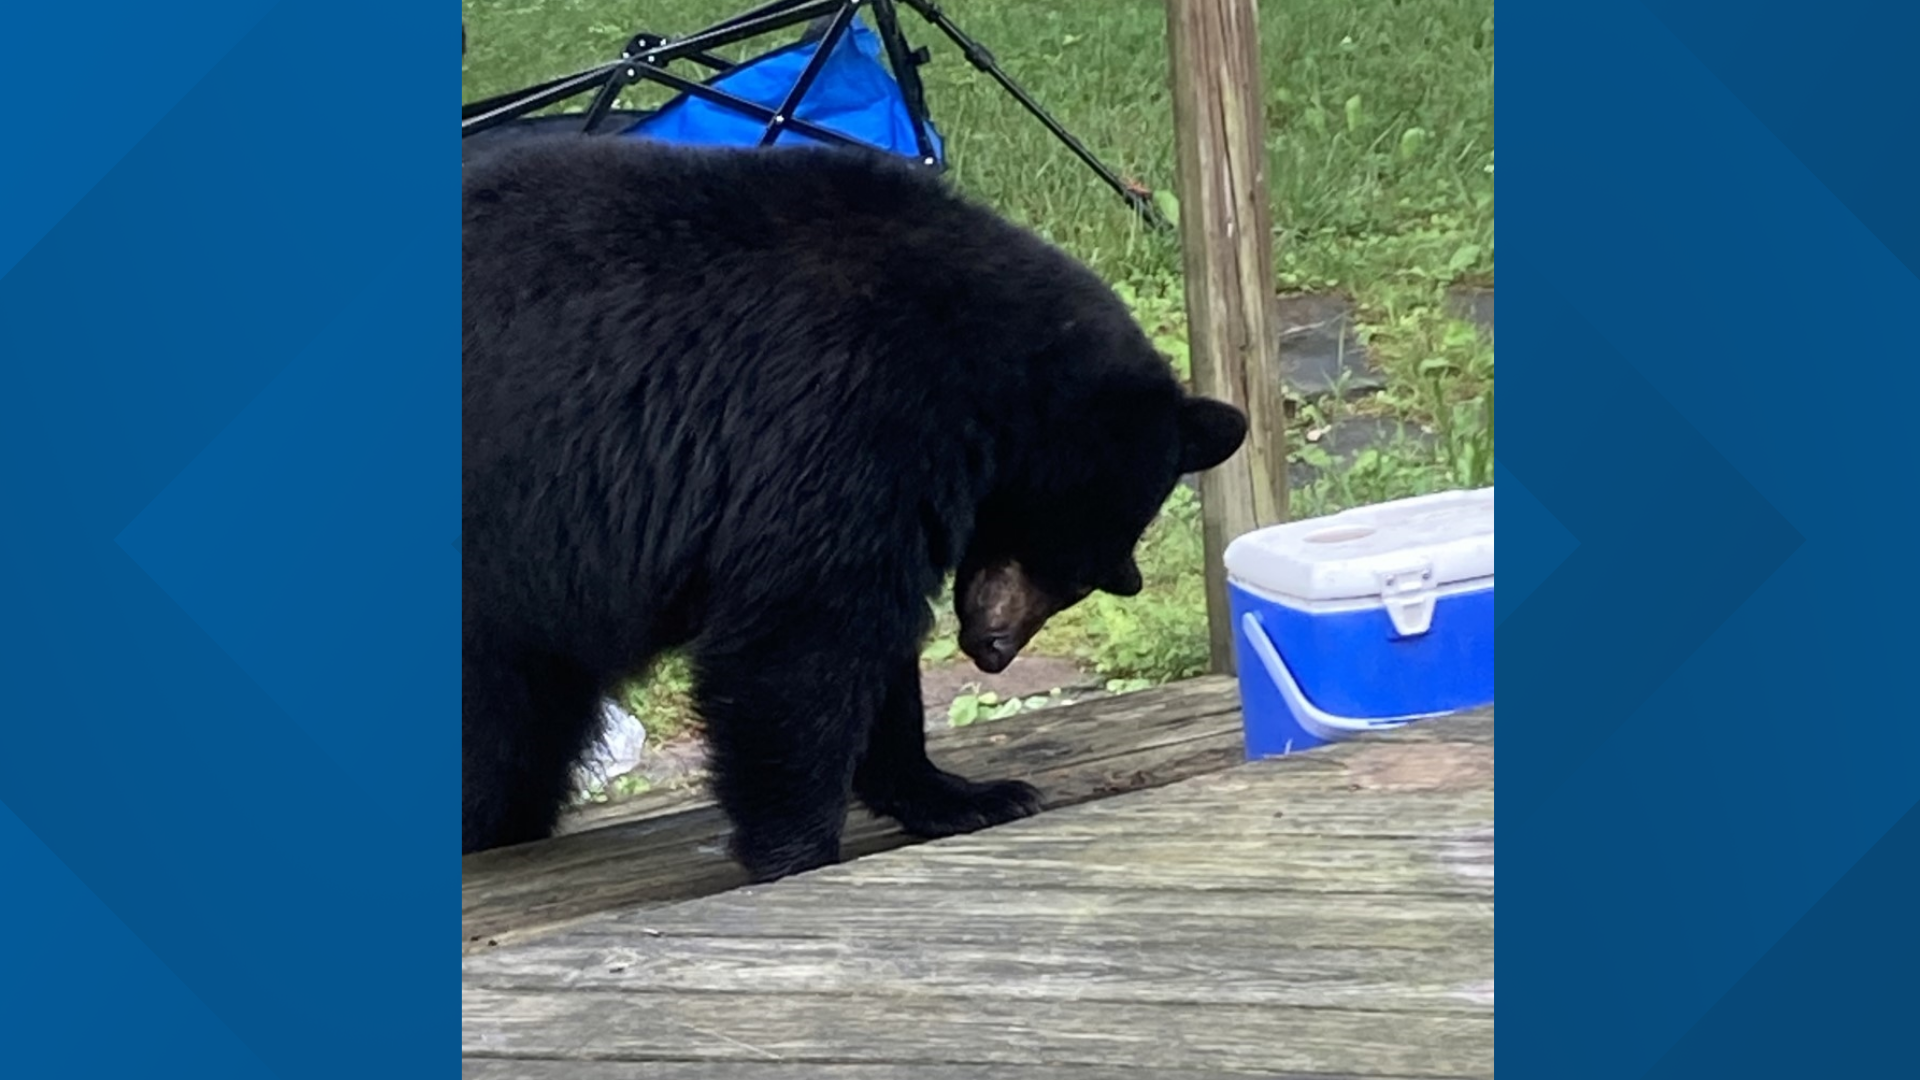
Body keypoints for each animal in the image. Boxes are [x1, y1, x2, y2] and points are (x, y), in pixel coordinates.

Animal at [462, 135, 1248, 883]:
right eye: (1087, 572)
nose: (993, 651)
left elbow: (874, 650)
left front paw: (960, 794)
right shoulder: (840, 416)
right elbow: (804, 636)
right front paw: (797, 848)